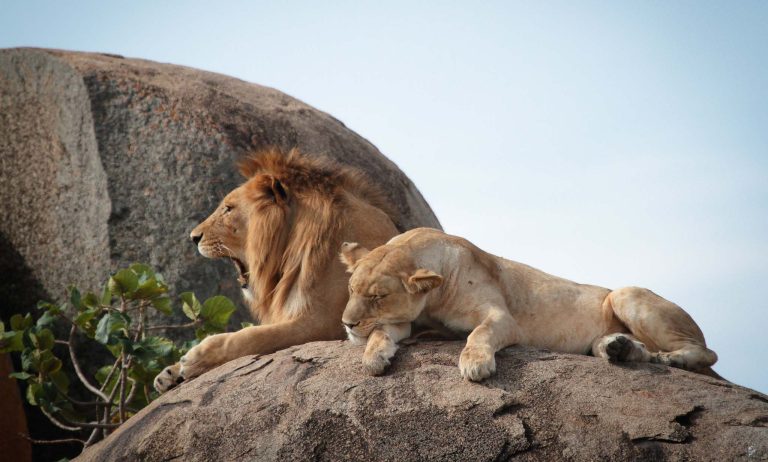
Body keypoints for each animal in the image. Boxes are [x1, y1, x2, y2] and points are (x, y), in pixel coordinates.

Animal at [154, 148, 400, 392]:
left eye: (228, 209)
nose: (193, 237)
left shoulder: (325, 322)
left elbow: (253, 336)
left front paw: (195, 357)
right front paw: (170, 372)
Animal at [339, 227, 719, 381]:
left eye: (377, 297)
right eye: (352, 290)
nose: (347, 324)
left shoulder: (502, 317)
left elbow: (477, 335)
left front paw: (475, 364)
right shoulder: (406, 321)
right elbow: (382, 333)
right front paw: (374, 357)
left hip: (623, 293)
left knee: (707, 353)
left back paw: (670, 359)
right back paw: (620, 348)